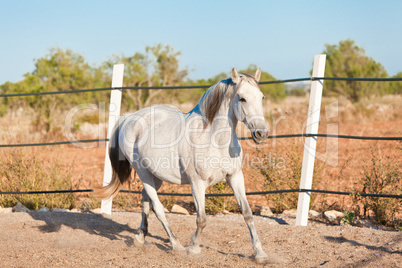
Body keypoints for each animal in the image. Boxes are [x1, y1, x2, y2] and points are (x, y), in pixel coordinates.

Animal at [95, 67, 268, 262]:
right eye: (242, 98)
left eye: (261, 97)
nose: (261, 133)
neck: (214, 139)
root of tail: (129, 117)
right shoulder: (197, 184)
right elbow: (202, 219)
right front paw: (193, 248)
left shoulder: (235, 177)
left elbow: (247, 214)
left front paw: (260, 254)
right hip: (143, 172)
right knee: (158, 207)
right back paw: (176, 245)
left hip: (156, 176)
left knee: (145, 200)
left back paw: (140, 237)